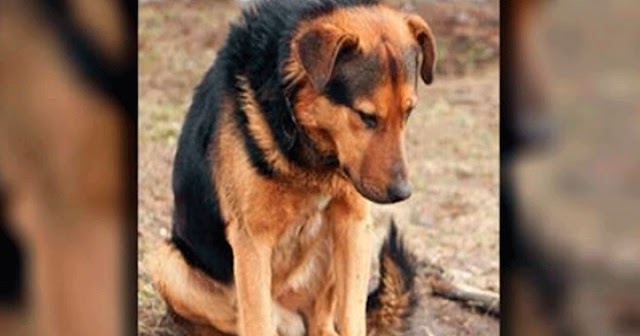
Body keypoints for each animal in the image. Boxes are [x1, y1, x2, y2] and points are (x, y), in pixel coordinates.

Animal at [152, 1, 438, 334]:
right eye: (366, 116)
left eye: (409, 111)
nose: (402, 193)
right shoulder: (252, 240)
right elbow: (256, 320)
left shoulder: (354, 222)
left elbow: (352, 316)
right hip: (166, 262)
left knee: (323, 321)